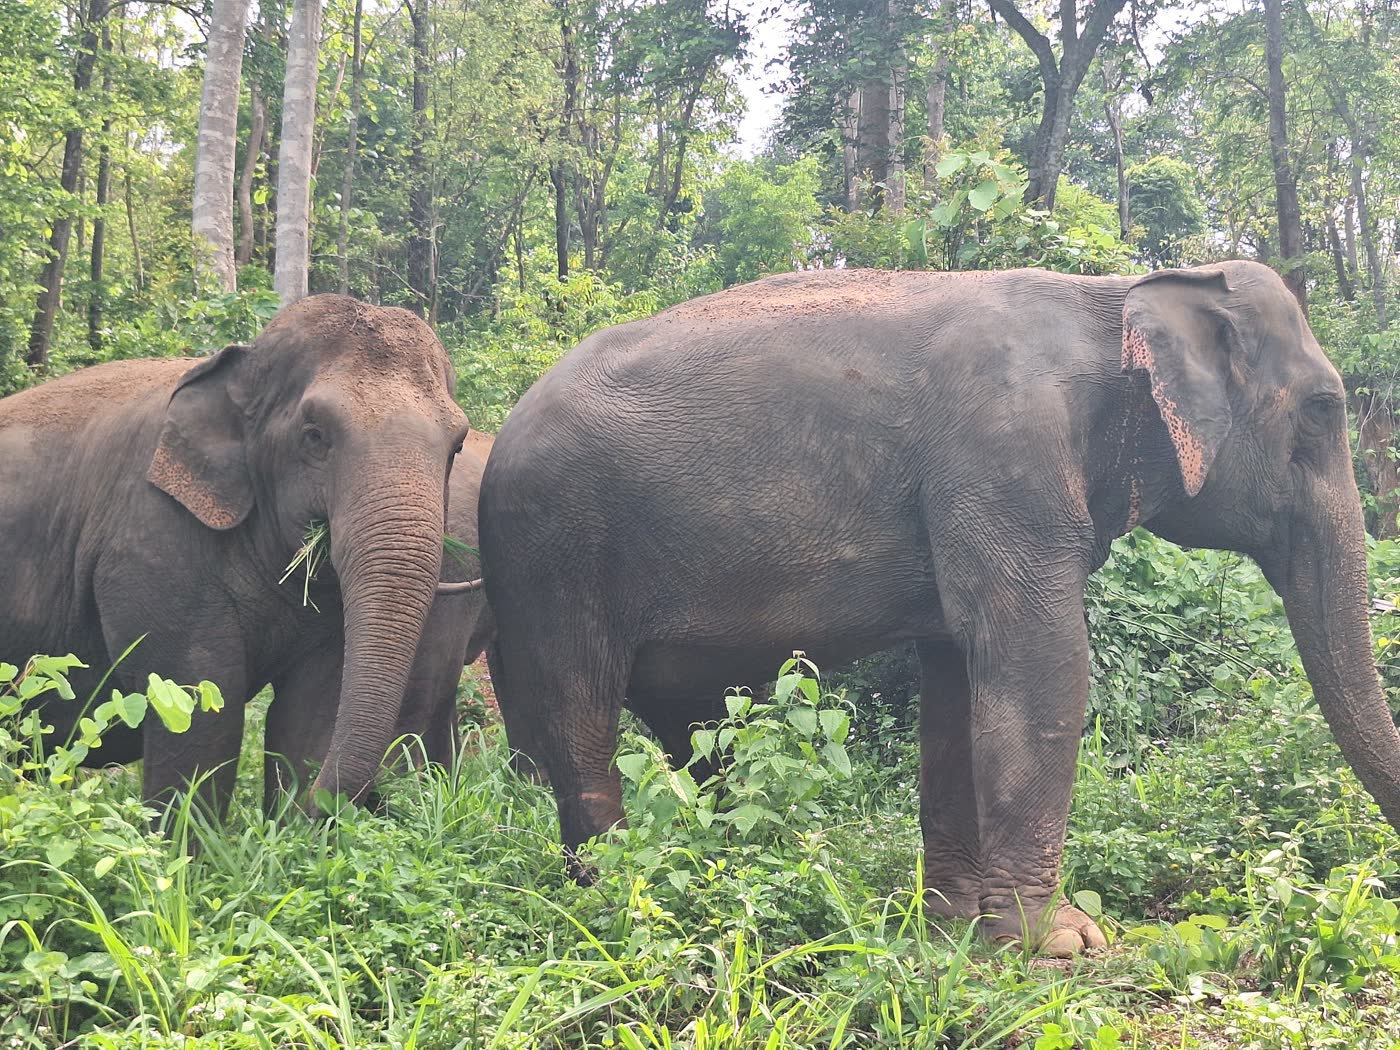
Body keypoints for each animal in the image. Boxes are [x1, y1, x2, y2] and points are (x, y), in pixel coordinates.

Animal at [0, 294, 469, 819]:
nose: (375, 803)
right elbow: (201, 698)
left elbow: (311, 705)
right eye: (314, 435)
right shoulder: (149, 539)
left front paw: (292, 826)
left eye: (457, 445)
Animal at [477, 261, 1400, 956]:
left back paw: (722, 883)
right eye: (1323, 409)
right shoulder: (1003, 462)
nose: (1379, 881)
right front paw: (1060, 941)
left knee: (696, 734)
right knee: (581, 728)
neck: (1114, 295)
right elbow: (1039, 666)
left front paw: (955, 922)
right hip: (553, 556)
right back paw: (615, 903)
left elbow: (958, 682)